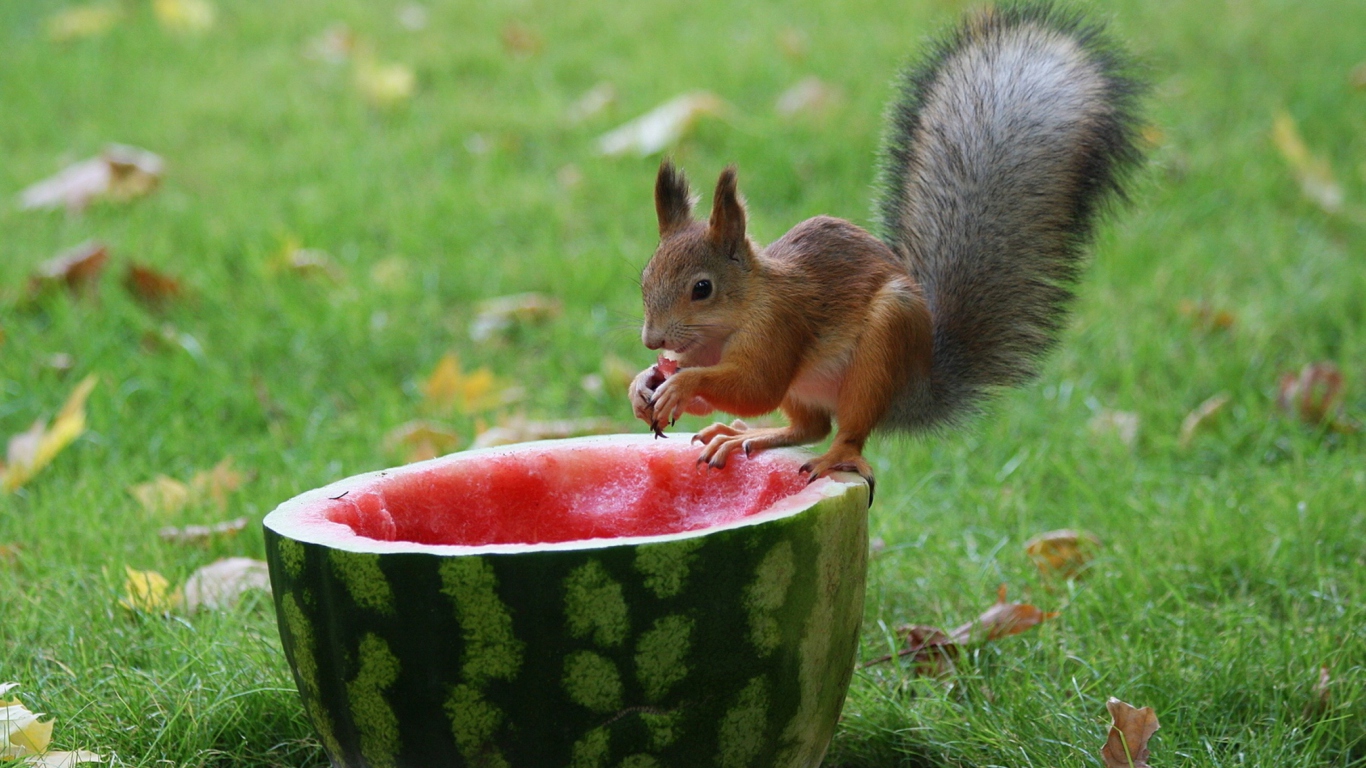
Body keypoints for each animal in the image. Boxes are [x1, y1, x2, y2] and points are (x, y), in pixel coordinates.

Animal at [628, 2, 1141, 500]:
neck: (731, 320)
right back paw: (744, 436)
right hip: (811, 388)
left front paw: (683, 383)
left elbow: (757, 388)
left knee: (845, 430)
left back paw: (835, 457)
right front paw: (644, 382)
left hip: (880, 353)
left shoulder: (781, 327)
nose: (652, 341)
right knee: (809, 426)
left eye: (702, 288)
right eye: (645, 279)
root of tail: (916, 385)